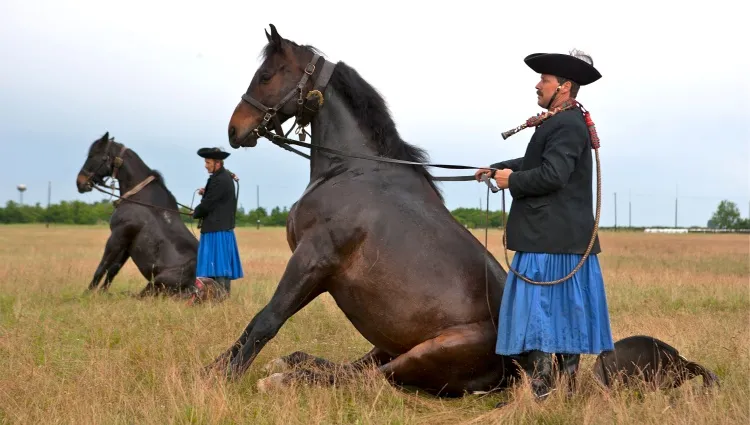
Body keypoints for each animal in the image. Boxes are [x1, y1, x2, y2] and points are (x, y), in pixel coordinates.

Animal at [77, 132, 222, 302]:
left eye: (93, 155)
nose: (80, 182)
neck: (140, 199)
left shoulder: (117, 236)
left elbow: (102, 266)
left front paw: (86, 294)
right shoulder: (127, 243)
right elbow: (113, 269)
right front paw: (103, 292)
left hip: (155, 283)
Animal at [207, 22, 524, 394]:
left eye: (266, 75)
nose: (234, 129)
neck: (351, 169)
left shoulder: (313, 258)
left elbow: (267, 318)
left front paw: (220, 377)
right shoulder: (320, 274)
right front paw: (214, 368)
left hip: (427, 353)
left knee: (367, 379)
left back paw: (286, 378)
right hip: (388, 345)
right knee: (354, 369)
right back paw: (290, 364)